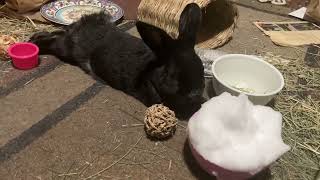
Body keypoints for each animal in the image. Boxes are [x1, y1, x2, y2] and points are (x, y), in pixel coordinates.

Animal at [29, 3, 205, 119]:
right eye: (171, 75)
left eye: (201, 67)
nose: (195, 92)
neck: (151, 72)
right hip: (67, 49)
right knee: (54, 42)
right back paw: (35, 42)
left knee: (58, 33)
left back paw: (36, 36)